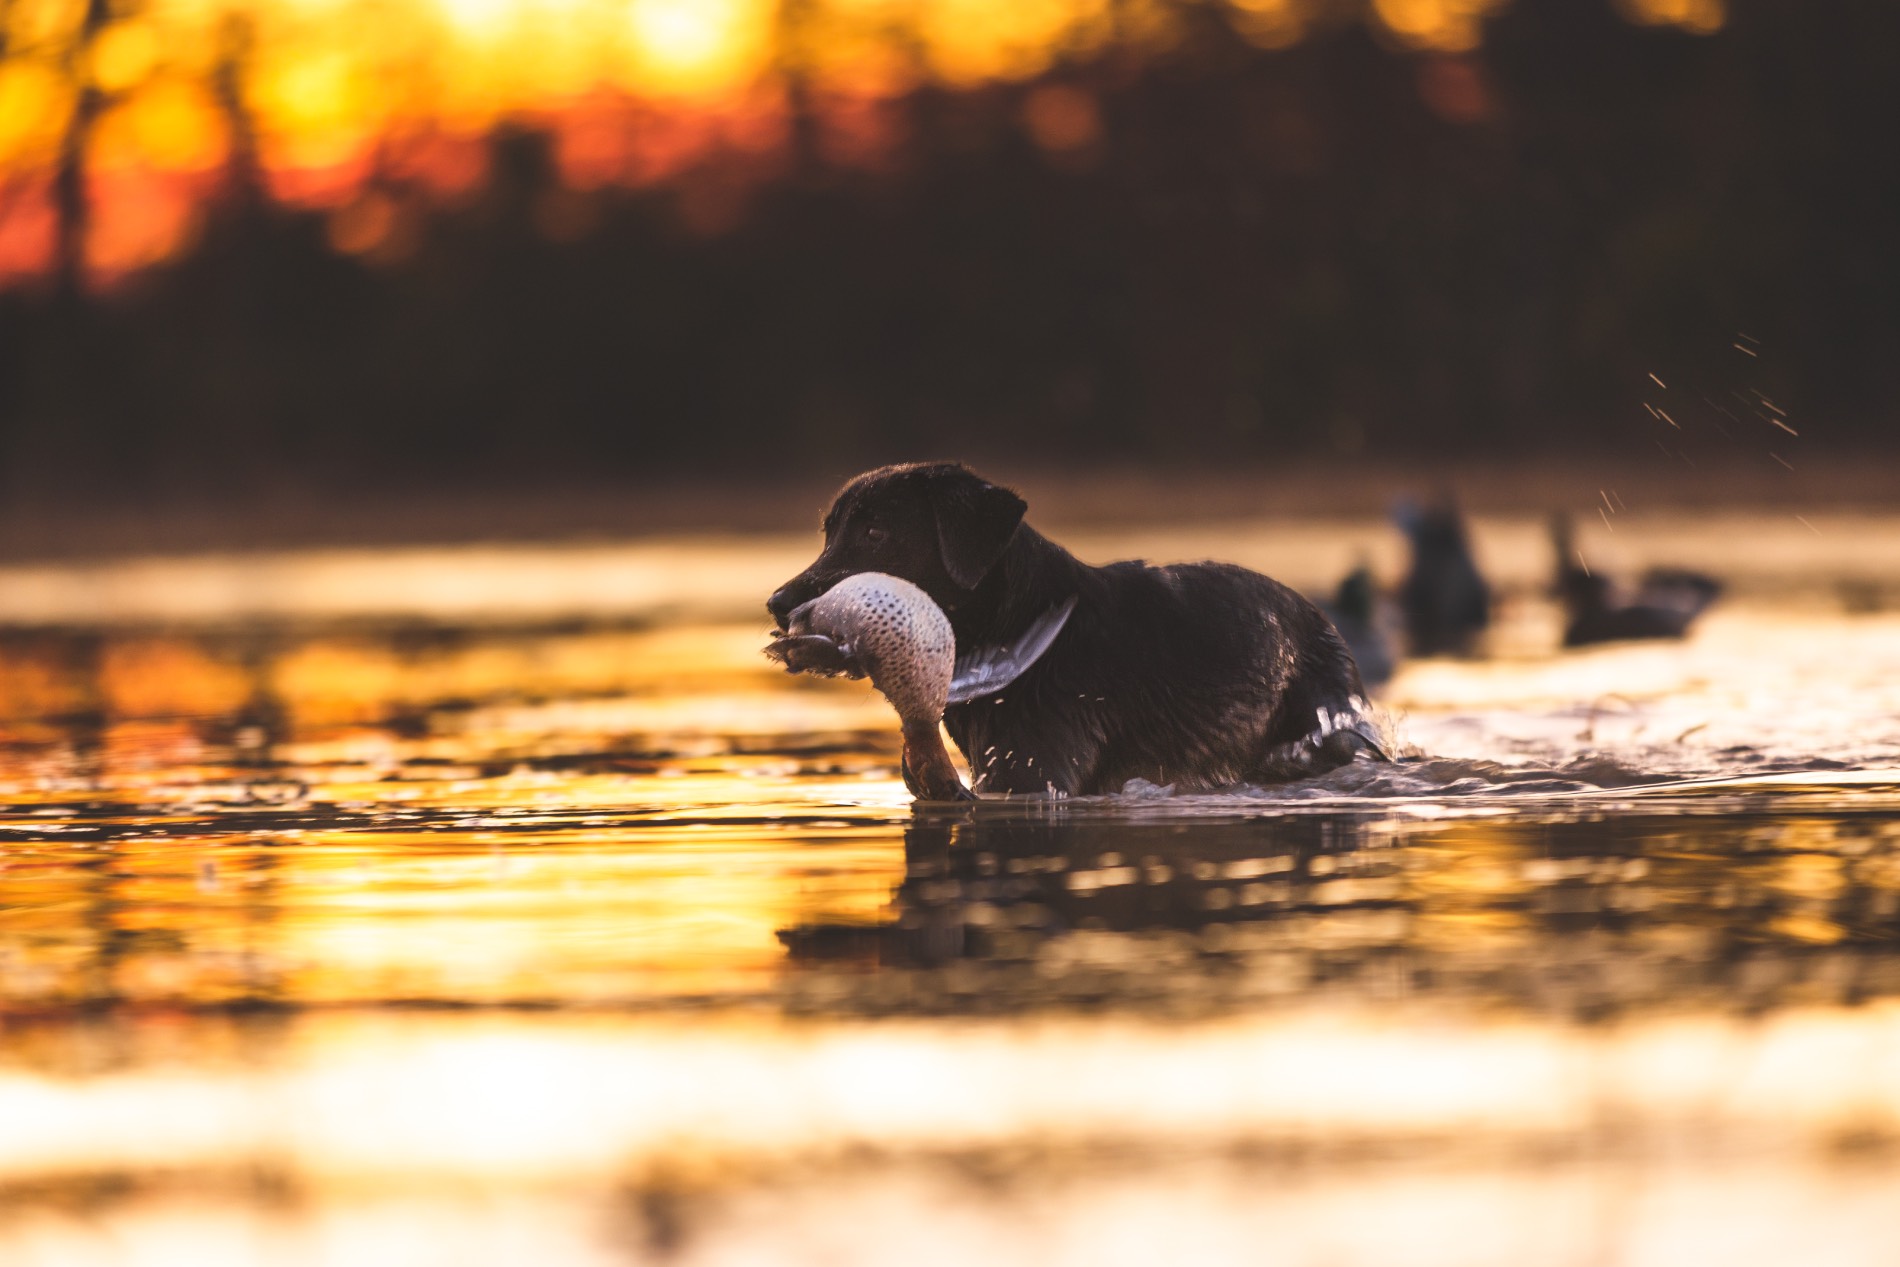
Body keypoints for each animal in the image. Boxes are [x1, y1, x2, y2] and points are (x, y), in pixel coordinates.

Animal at [767, 465, 1383, 797]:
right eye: (829, 534)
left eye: (875, 532)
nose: (776, 604)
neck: (1026, 633)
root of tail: (1319, 616)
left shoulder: (1036, 774)